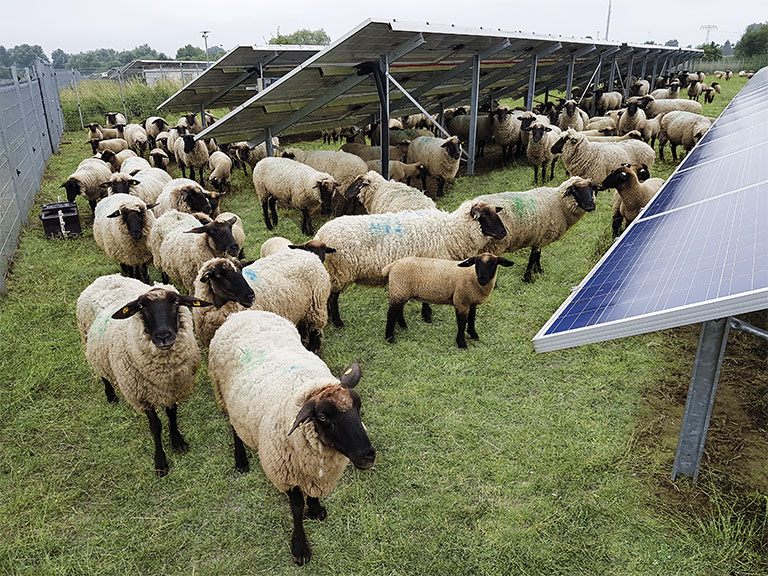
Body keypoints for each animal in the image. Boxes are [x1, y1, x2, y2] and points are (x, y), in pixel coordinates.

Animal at [76, 274, 210, 476]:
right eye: (141, 307)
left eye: (176, 302)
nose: (164, 336)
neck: (164, 371)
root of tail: (105, 277)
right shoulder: (141, 396)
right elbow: (155, 426)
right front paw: (160, 461)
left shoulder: (171, 388)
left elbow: (172, 415)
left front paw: (177, 442)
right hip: (89, 343)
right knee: (102, 373)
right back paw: (111, 395)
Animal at [207, 310, 375, 565]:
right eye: (323, 417)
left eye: (358, 405)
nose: (368, 456)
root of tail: (242, 312)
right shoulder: (284, 471)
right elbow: (295, 507)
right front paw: (300, 548)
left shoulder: (313, 470)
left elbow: (312, 494)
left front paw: (315, 510)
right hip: (224, 397)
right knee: (234, 428)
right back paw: (241, 460)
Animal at [313, 200, 507, 327]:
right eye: (484, 216)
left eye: (495, 213)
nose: (504, 233)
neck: (449, 231)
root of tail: (321, 234)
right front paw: (427, 316)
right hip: (342, 270)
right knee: (333, 296)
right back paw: (337, 322)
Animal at [382, 253, 513, 348]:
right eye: (476, 263)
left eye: (493, 263)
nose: (482, 279)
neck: (472, 277)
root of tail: (393, 265)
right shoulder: (461, 301)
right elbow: (462, 322)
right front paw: (462, 343)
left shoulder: (471, 301)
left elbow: (471, 319)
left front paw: (473, 334)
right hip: (399, 289)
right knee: (391, 314)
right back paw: (390, 338)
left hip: (401, 291)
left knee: (398, 310)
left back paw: (403, 326)